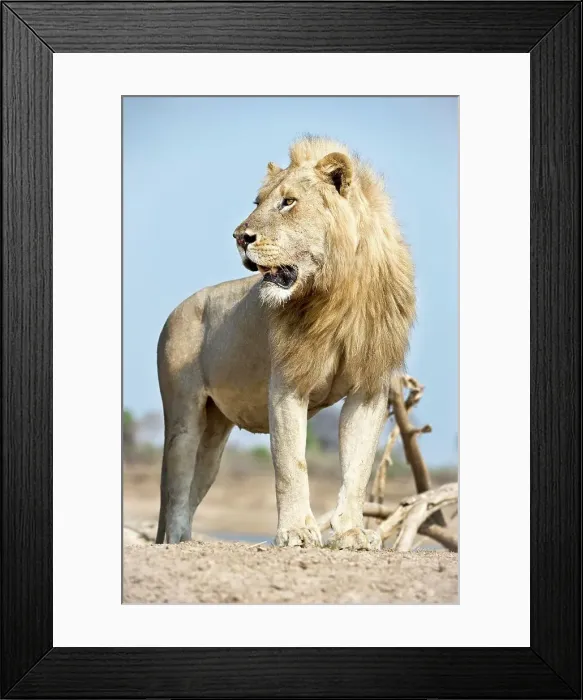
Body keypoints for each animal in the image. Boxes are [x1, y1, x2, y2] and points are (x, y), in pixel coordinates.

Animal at [155, 136, 415, 550]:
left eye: (288, 202)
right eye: (257, 202)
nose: (240, 237)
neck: (338, 293)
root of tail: (176, 309)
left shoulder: (370, 389)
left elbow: (358, 467)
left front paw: (352, 533)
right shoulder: (288, 383)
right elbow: (291, 462)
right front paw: (296, 532)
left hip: (214, 435)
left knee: (197, 483)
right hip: (183, 417)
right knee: (176, 491)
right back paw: (178, 543)